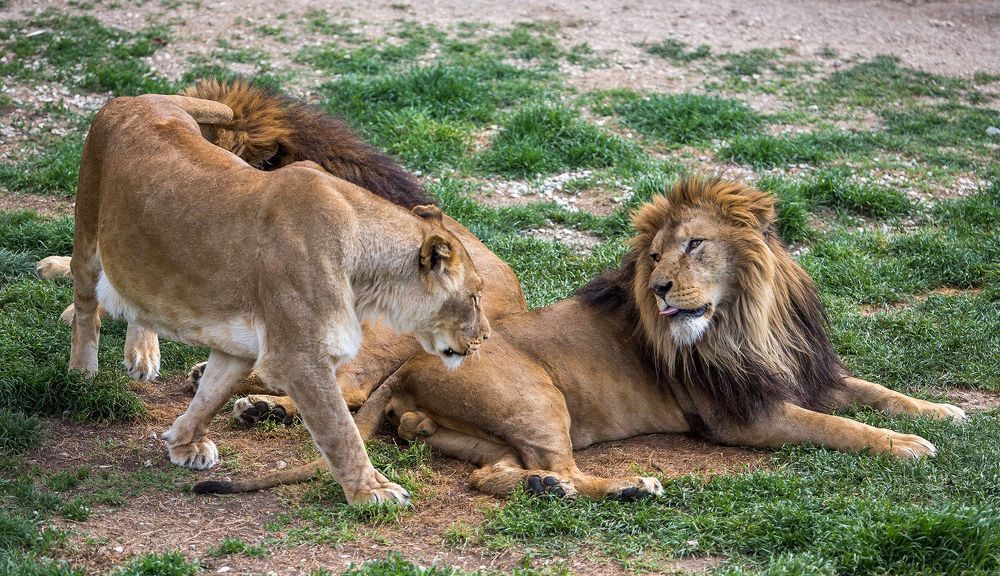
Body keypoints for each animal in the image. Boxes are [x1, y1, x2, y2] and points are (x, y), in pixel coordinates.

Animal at [65, 93, 490, 505]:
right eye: (474, 296)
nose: (486, 337)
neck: (366, 271)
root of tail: (137, 99)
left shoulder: (241, 345)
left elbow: (211, 394)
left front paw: (184, 443)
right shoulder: (300, 357)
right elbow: (340, 430)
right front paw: (371, 491)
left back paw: (141, 354)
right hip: (87, 227)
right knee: (86, 302)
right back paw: (81, 372)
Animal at [196, 178, 966, 500]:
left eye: (693, 245)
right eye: (652, 258)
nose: (662, 289)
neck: (752, 317)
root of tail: (413, 367)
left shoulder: (806, 372)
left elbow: (877, 392)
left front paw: (944, 413)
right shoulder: (744, 415)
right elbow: (839, 428)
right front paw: (908, 446)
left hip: (484, 431)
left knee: (492, 476)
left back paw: (546, 488)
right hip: (539, 398)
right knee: (555, 466)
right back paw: (630, 486)